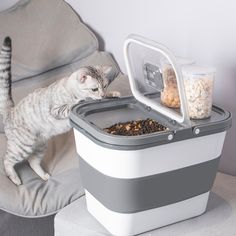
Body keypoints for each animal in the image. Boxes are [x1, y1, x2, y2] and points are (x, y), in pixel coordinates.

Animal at [0, 36, 121, 185]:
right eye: (94, 89)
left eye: (105, 85)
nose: (103, 95)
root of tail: (10, 111)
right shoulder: (56, 109)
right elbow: (71, 105)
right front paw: (83, 101)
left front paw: (113, 94)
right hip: (22, 146)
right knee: (7, 161)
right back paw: (15, 179)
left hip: (40, 146)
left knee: (32, 161)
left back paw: (44, 176)